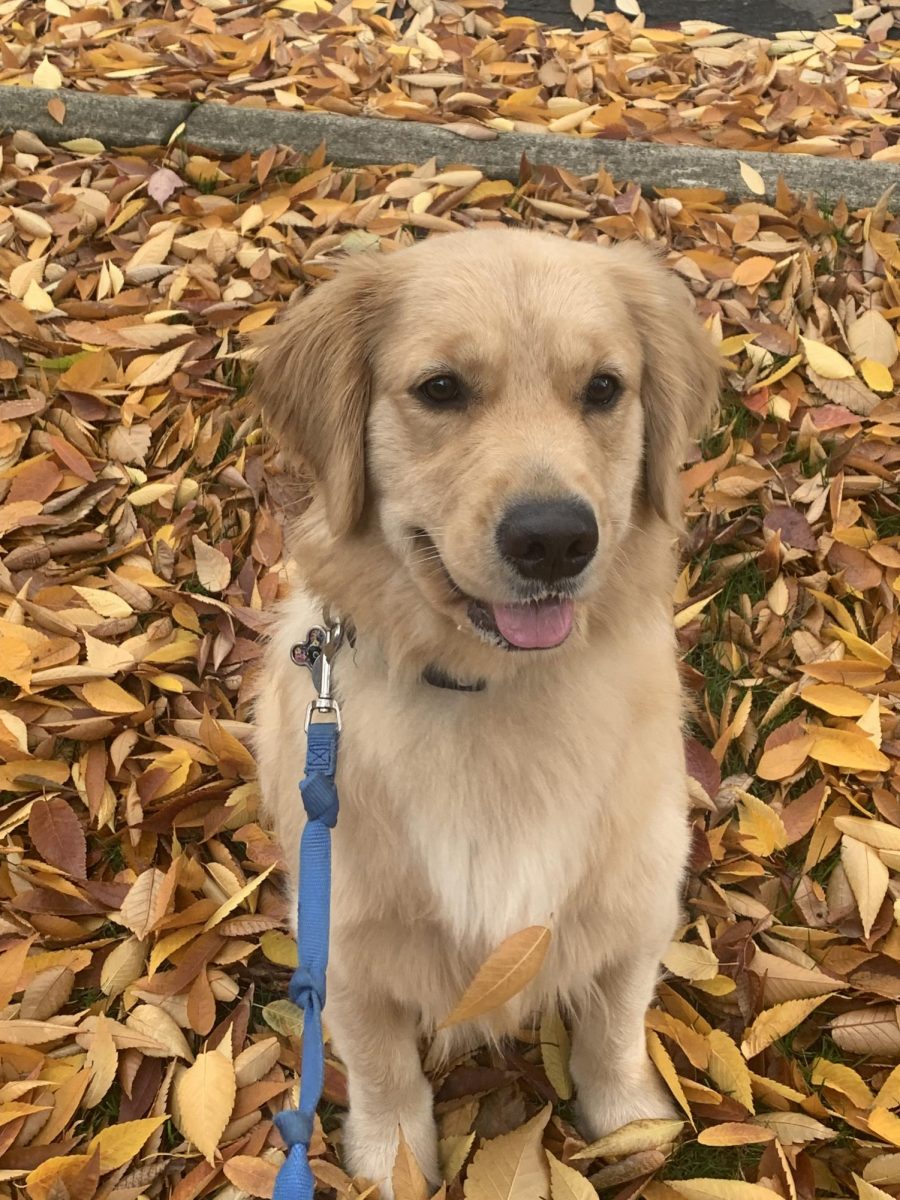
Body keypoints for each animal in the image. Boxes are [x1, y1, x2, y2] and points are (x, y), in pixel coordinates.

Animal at [252, 225, 720, 1190]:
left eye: (604, 389)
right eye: (441, 389)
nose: (554, 539)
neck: (495, 693)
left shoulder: (639, 901)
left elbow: (616, 1025)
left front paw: (628, 1126)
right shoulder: (344, 940)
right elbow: (383, 1069)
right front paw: (392, 1163)